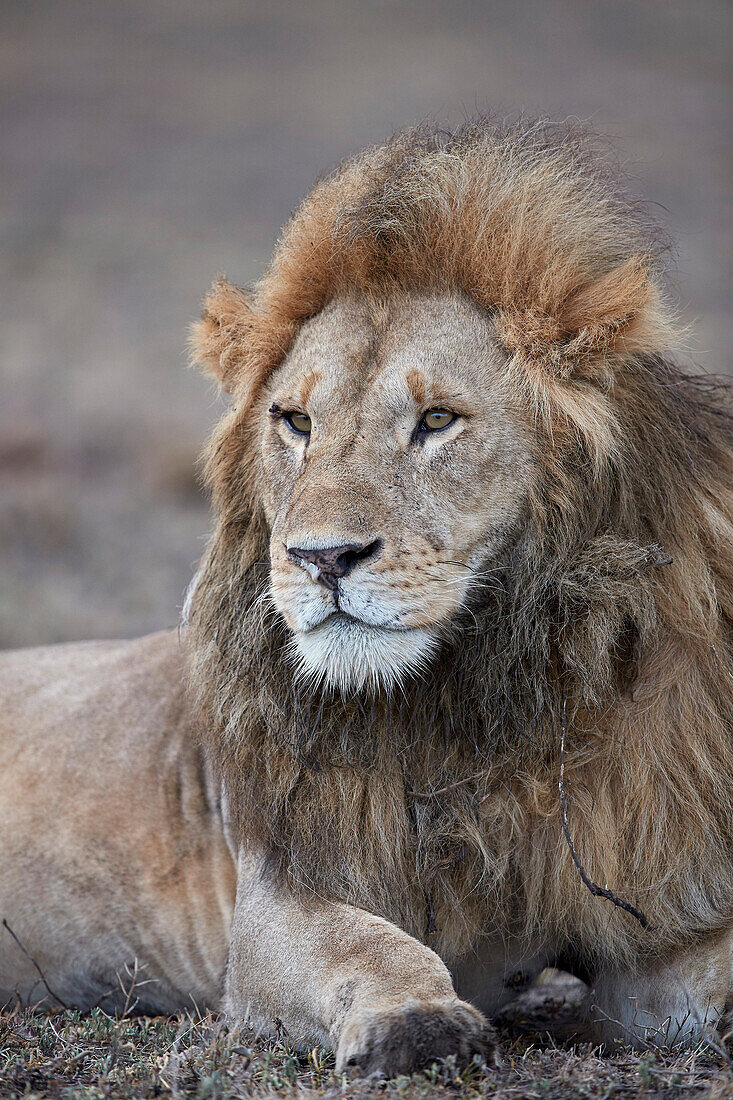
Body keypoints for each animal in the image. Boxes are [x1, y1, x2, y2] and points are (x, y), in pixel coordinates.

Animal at [1, 120, 730, 1073]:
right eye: (296, 422)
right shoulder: (276, 899)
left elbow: (702, 973)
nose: (323, 558)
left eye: (436, 421)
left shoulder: (641, 886)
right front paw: (418, 1022)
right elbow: (370, 946)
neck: (478, 704)